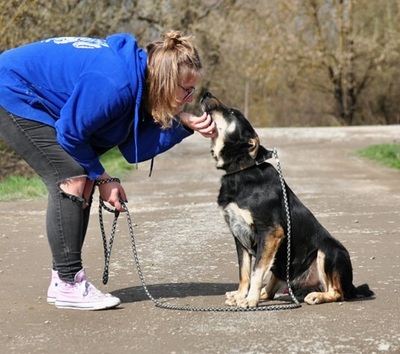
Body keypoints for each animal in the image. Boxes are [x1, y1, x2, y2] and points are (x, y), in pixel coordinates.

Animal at [202, 92, 374, 308]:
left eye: (232, 112)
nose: (206, 94)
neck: (241, 170)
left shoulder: (270, 232)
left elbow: (256, 272)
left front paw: (249, 300)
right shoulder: (238, 234)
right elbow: (244, 273)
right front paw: (242, 295)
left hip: (329, 250)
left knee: (338, 293)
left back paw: (317, 296)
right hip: (282, 265)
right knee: (271, 290)